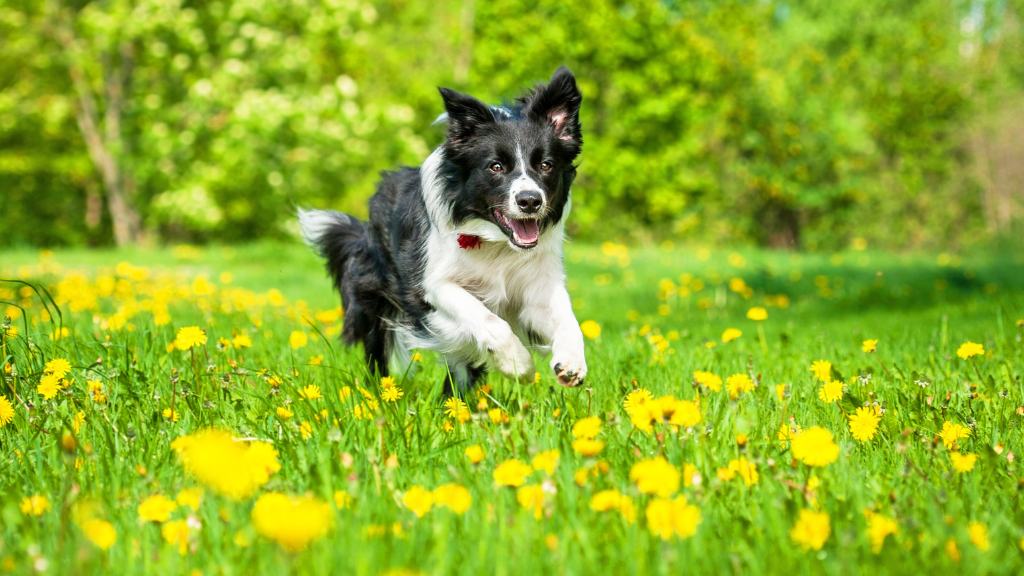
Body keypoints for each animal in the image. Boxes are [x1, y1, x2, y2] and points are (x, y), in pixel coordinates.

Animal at [299, 66, 585, 389]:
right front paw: (518, 364)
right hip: (375, 300)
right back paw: (378, 392)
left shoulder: (537, 285)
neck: (496, 244)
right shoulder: (430, 286)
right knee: (378, 352)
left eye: (546, 164)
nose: (530, 201)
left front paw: (571, 362)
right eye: (496, 166)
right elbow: (486, 318)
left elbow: (567, 319)